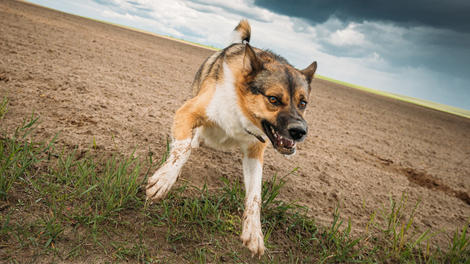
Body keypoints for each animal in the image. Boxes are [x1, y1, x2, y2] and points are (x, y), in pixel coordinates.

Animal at [145, 19, 318, 256]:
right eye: (273, 99)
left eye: (303, 103)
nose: (300, 132)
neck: (240, 107)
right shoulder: (187, 112)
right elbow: (182, 149)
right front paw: (164, 180)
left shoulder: (255, 152)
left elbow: (255, 194)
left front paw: (253, 231)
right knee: (194, 136)